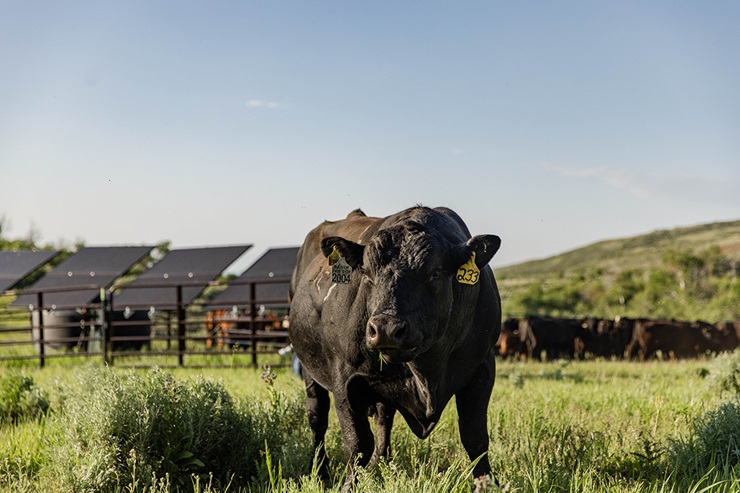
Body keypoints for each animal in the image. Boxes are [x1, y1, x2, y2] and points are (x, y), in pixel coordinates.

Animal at [289, 206, 502, 488]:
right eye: (367, 273)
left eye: (434, 273)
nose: (386, 329)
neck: (427, 373)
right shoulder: (345, 380)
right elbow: (357, 444)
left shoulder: (482, 369)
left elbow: (475, 439)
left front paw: (487, 484)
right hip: (309, 370)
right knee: (317, 418)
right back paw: (321, 473)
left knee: (383, 416)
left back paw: (381, 461)